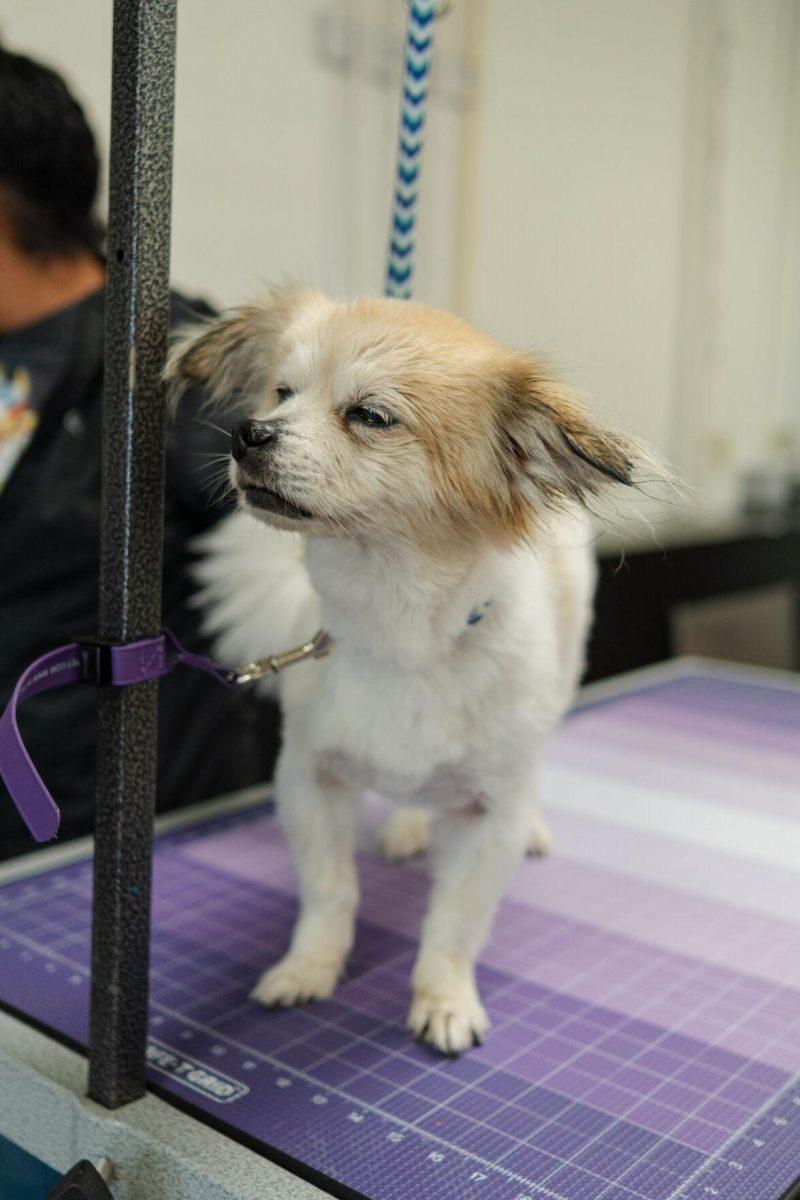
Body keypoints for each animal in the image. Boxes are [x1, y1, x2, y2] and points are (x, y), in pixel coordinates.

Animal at [169, 295, 642, 1056]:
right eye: (282, 393)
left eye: (370, 415)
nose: (248, 433)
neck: (398, 636)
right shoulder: (309, 781)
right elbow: (330, 893)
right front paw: (309, 967)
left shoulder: (488, 818)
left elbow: (455, 922)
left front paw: (444, 1000)